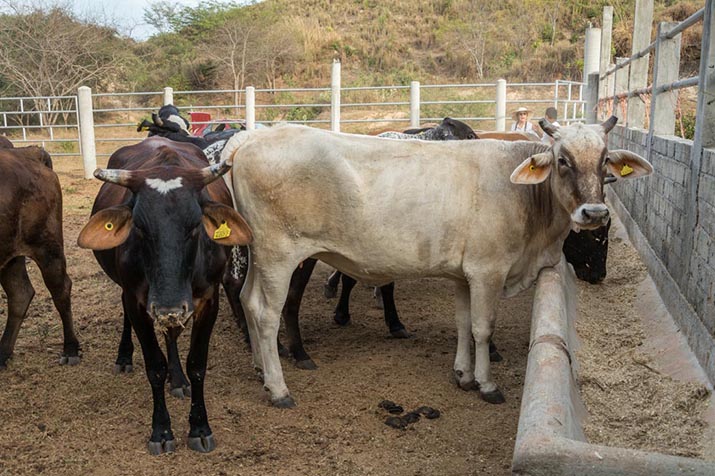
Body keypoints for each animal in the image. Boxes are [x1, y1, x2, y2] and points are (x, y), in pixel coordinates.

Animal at [0, 146, 80, 369]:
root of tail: (28, 152)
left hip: (48, 249)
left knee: (61, 290)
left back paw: (70, 349)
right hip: (11, 257)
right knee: (20, 293)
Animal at [77, 137, 252, 454]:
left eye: (195, 227)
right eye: (140, 227)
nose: (168, 305)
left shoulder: (208, 300)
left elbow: (197, 364)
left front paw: (199, 427)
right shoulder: (139, 301)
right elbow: (154, 367)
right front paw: (161, 431)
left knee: (171, 333)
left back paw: (178, 379)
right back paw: (125, 356)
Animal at [220, 116, 652, 408]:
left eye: (604, 159)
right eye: (563, 159)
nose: (594, 212)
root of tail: (253, 136)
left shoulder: (465, 274)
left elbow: (462, 323)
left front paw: (463, 374)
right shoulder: (488, 271)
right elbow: (482, 328)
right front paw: (487, 383)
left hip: (261, 257)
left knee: (246, 300)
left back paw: (260, 371)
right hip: (280, 255)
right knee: (266, 313)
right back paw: (278, 388)